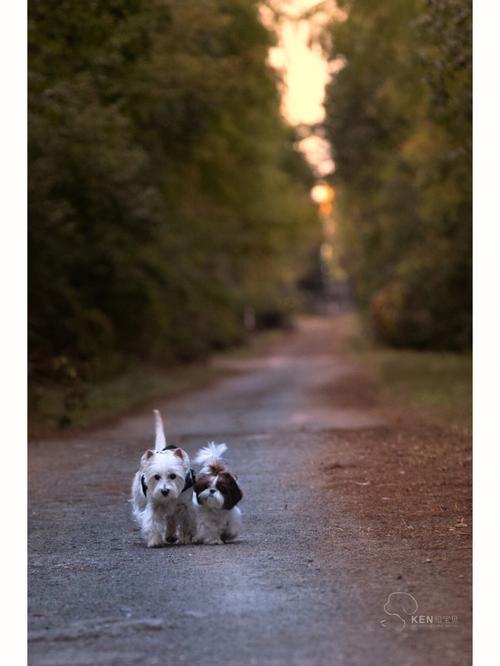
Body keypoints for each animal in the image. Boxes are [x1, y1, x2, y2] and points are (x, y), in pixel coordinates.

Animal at [131, 410, 195, 544]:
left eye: (173, 476)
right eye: (156, 477)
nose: (165, 491)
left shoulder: (185, 506)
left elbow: (186, 522)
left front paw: (185, 538)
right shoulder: (154, 505)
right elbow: (152, 522)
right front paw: (154, 541)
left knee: (171, 518)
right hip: (140, 499)